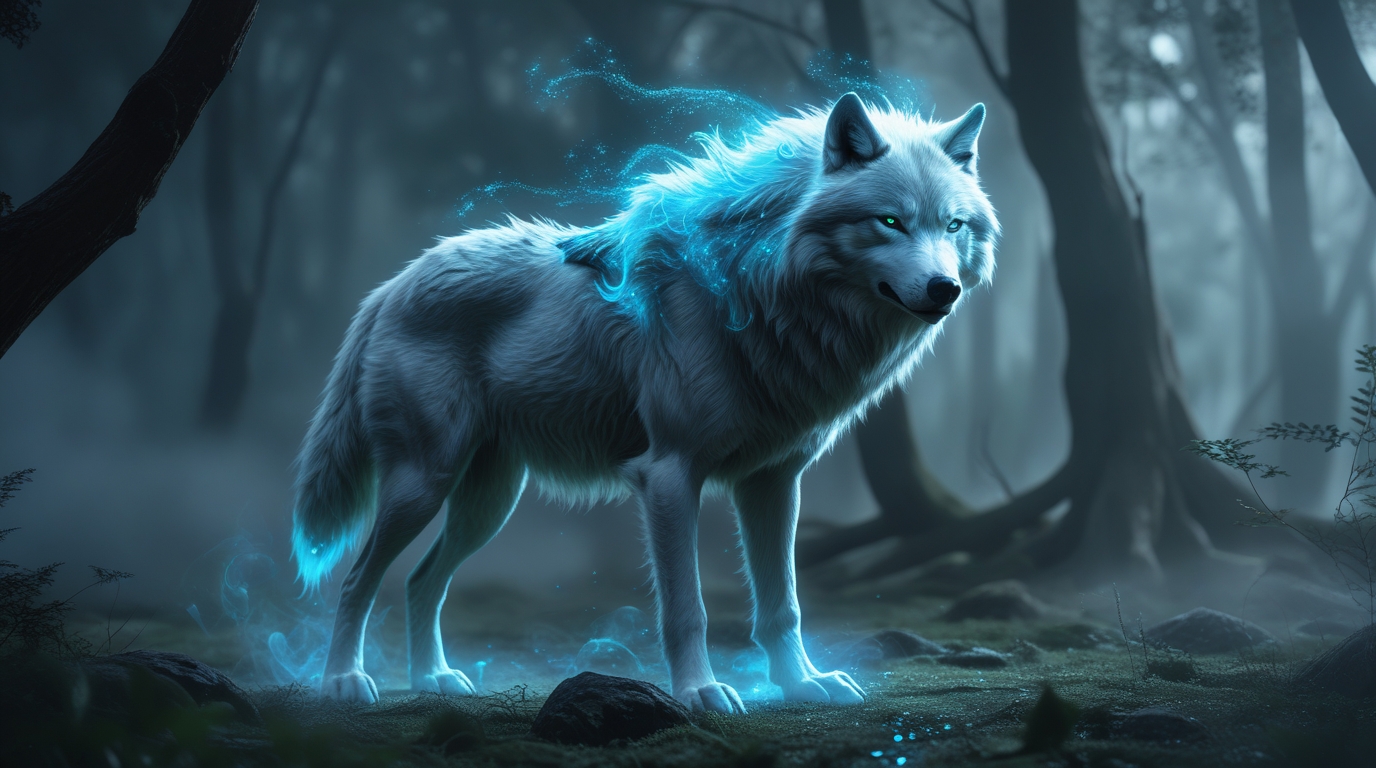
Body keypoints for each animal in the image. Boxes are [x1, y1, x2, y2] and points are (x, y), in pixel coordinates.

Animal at [291, 92, 997, 713]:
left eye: (953, 225)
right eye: (890, 221)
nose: (946, 288)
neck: (758, 291)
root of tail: (390, 285)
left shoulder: (773, 481)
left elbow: (782, 605)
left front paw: (802, 685)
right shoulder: (669, 475)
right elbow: (688, 608)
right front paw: (700, 693)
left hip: (487, 503)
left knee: (421, 580)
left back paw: (434, 681)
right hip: (424, 484)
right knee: (356, 581)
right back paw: (342, 683)